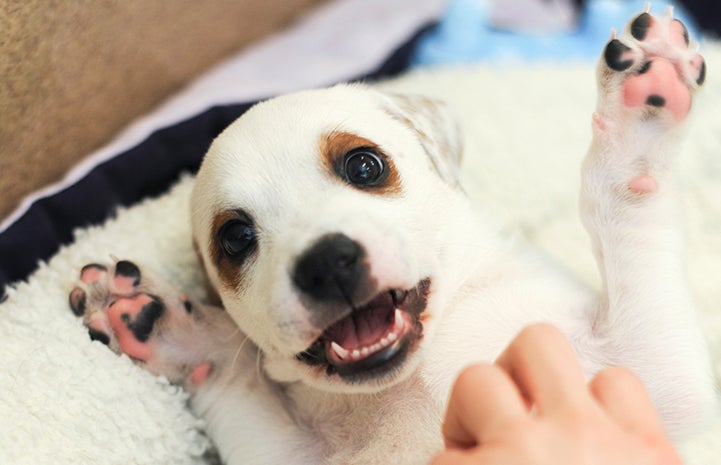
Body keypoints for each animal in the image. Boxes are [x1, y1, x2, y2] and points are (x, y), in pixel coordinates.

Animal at [69, 10, 716, 464]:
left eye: (364, 165)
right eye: (234, 237)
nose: (327, 264)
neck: (414, 380)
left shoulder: (662, 382)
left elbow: (624, 206)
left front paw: (644, 105)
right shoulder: (283, 455)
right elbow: (235, 382)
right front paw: (172, 326)